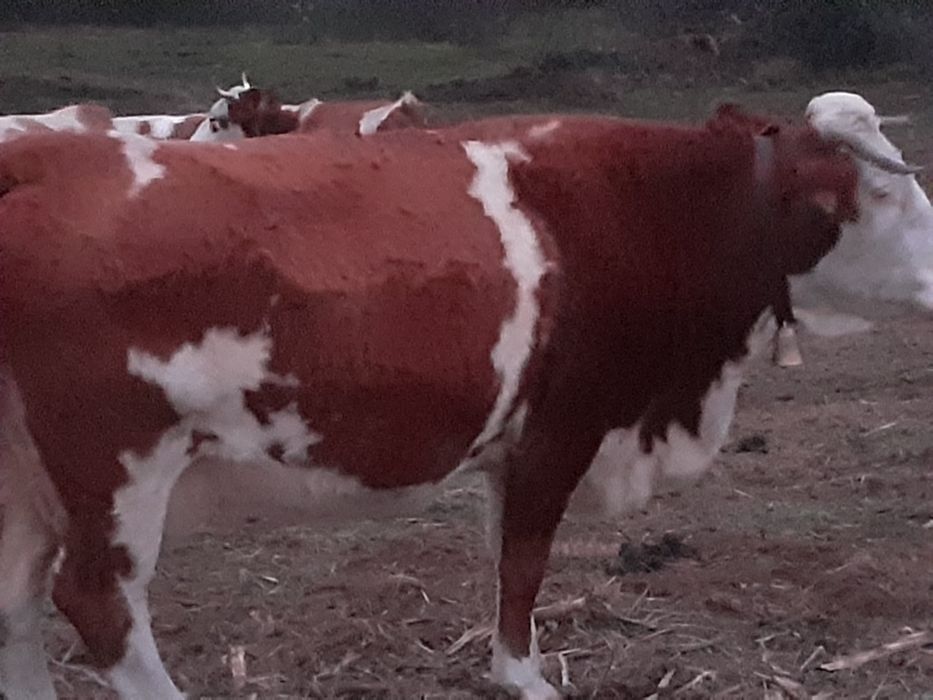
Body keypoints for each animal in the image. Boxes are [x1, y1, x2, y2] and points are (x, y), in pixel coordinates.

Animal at [0, 106, 914, 700]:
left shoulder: (516, 445)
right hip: (118, 468)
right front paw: (523, 678)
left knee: (16, 603)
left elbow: (507, 555)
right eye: (884, 198)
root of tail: (48, 156)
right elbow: (524, 560)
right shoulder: (561, 427)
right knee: (98, 602)